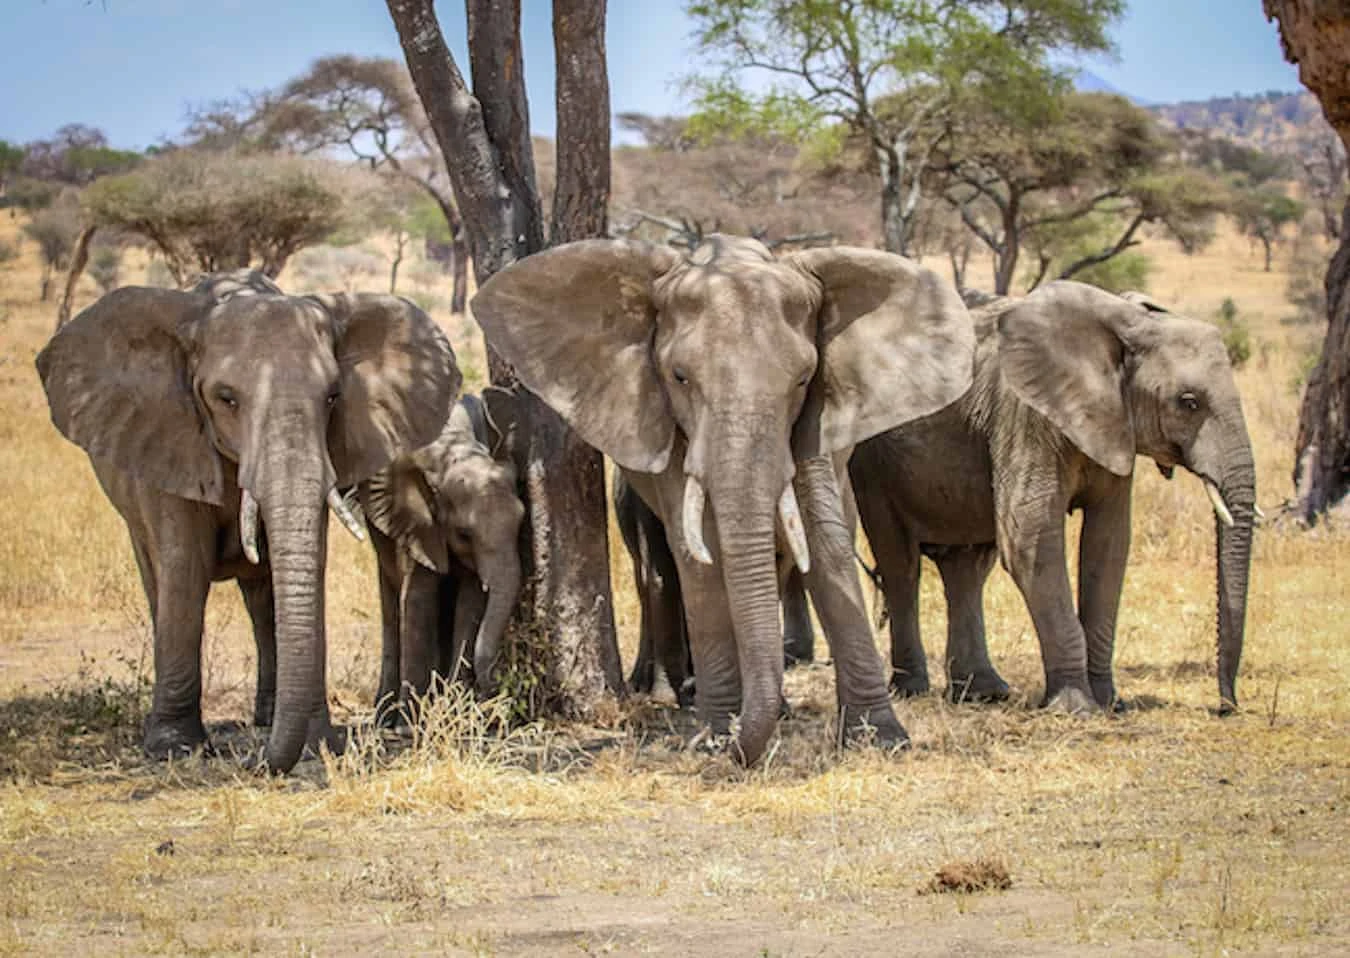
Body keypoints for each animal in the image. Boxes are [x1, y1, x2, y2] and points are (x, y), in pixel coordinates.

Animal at [36, 270, 461, 772]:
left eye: (333, 397)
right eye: (226, 399)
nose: (252, 762)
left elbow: (307, 565)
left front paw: (318, 743)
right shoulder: (168, 441)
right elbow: (184, 568)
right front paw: (175, 748)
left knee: (262, 597)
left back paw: (266, 716)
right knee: (159, 580)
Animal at [361, 393, 525, 718]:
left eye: (522, 520)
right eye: (463, 534)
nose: (495, 689)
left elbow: (470, 605)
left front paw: (453, 708)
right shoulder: (419, 524)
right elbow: (417, 601)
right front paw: (410, 721)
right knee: (391, 600)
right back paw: (384, 714)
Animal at [471, 234, 975, 764]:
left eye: (802, 380)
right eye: (679, 377)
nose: (734, 742)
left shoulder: (814, 423)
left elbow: (825, 543)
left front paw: (881, 740)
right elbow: (700, 557)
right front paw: (713, 739)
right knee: (660, 567)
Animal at [848, 281, 1255, 714]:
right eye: (1188, 402)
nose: (1226, 706)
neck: (1126, 323)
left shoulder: (1114, 426)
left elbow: (1108, 547)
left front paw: (1110, 703)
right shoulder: (1025, 413)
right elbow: (1032, 542)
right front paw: (1077, 709)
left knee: (967, 568)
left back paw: (983, 693)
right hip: (871, 462)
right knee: (901, 566)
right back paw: (913, 690)